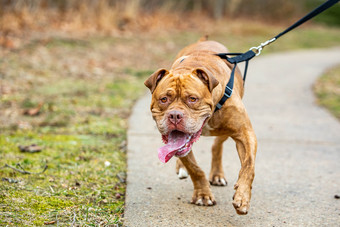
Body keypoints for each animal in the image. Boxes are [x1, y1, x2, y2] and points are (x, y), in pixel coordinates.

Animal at [144, 37, 258, 215]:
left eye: (192, 99)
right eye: (164, 99)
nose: (174, 115)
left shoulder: (245, 133)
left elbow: (248, 165)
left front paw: (242, 197)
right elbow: (194, 169)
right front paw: (202, 195)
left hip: (226, 131)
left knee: (217, 146)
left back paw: (217, 175)